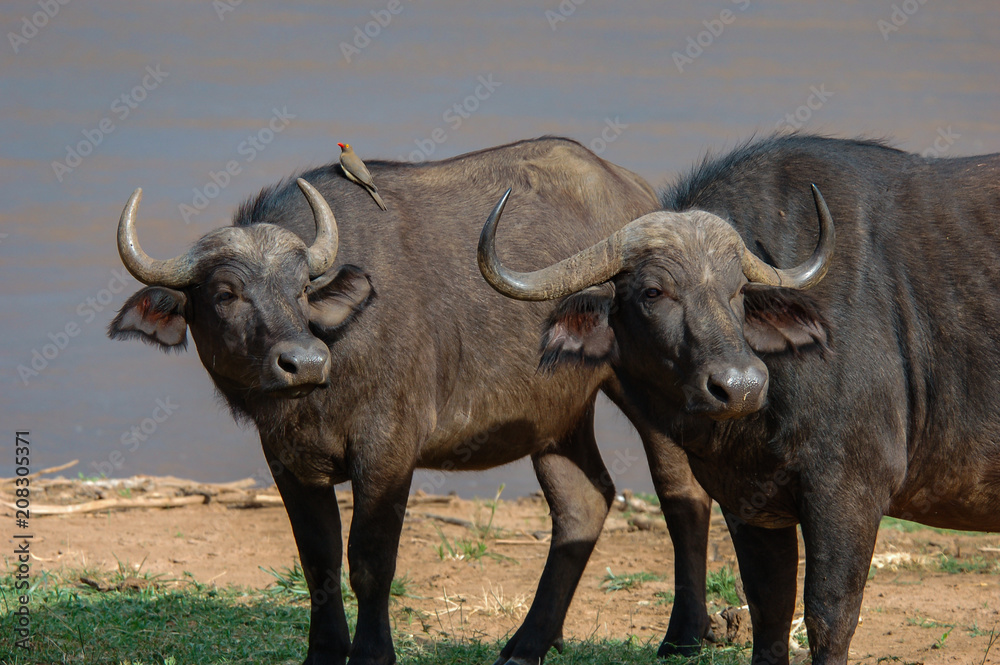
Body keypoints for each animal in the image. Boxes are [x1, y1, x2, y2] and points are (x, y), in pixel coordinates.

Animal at [109, 137, 716, 660]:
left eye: (300, 290)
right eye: (225, 293)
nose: (304, 362)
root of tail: (644, 203)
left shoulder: (388, 452)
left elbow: (371, 560)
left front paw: (372, 653)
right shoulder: (287, 460)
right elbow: (319, 560)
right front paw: (324, 652)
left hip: (650, 392)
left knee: (682, 493)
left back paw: (682, 636)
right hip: (557, 418)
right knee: (583, 503)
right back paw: (527, 643)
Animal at [474, 135, 1000, 664]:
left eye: (739, 291)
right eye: (653, 291)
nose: (741, 386)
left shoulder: (849, 491)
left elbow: (830, 617)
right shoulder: (745, 498)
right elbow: (769, 609)